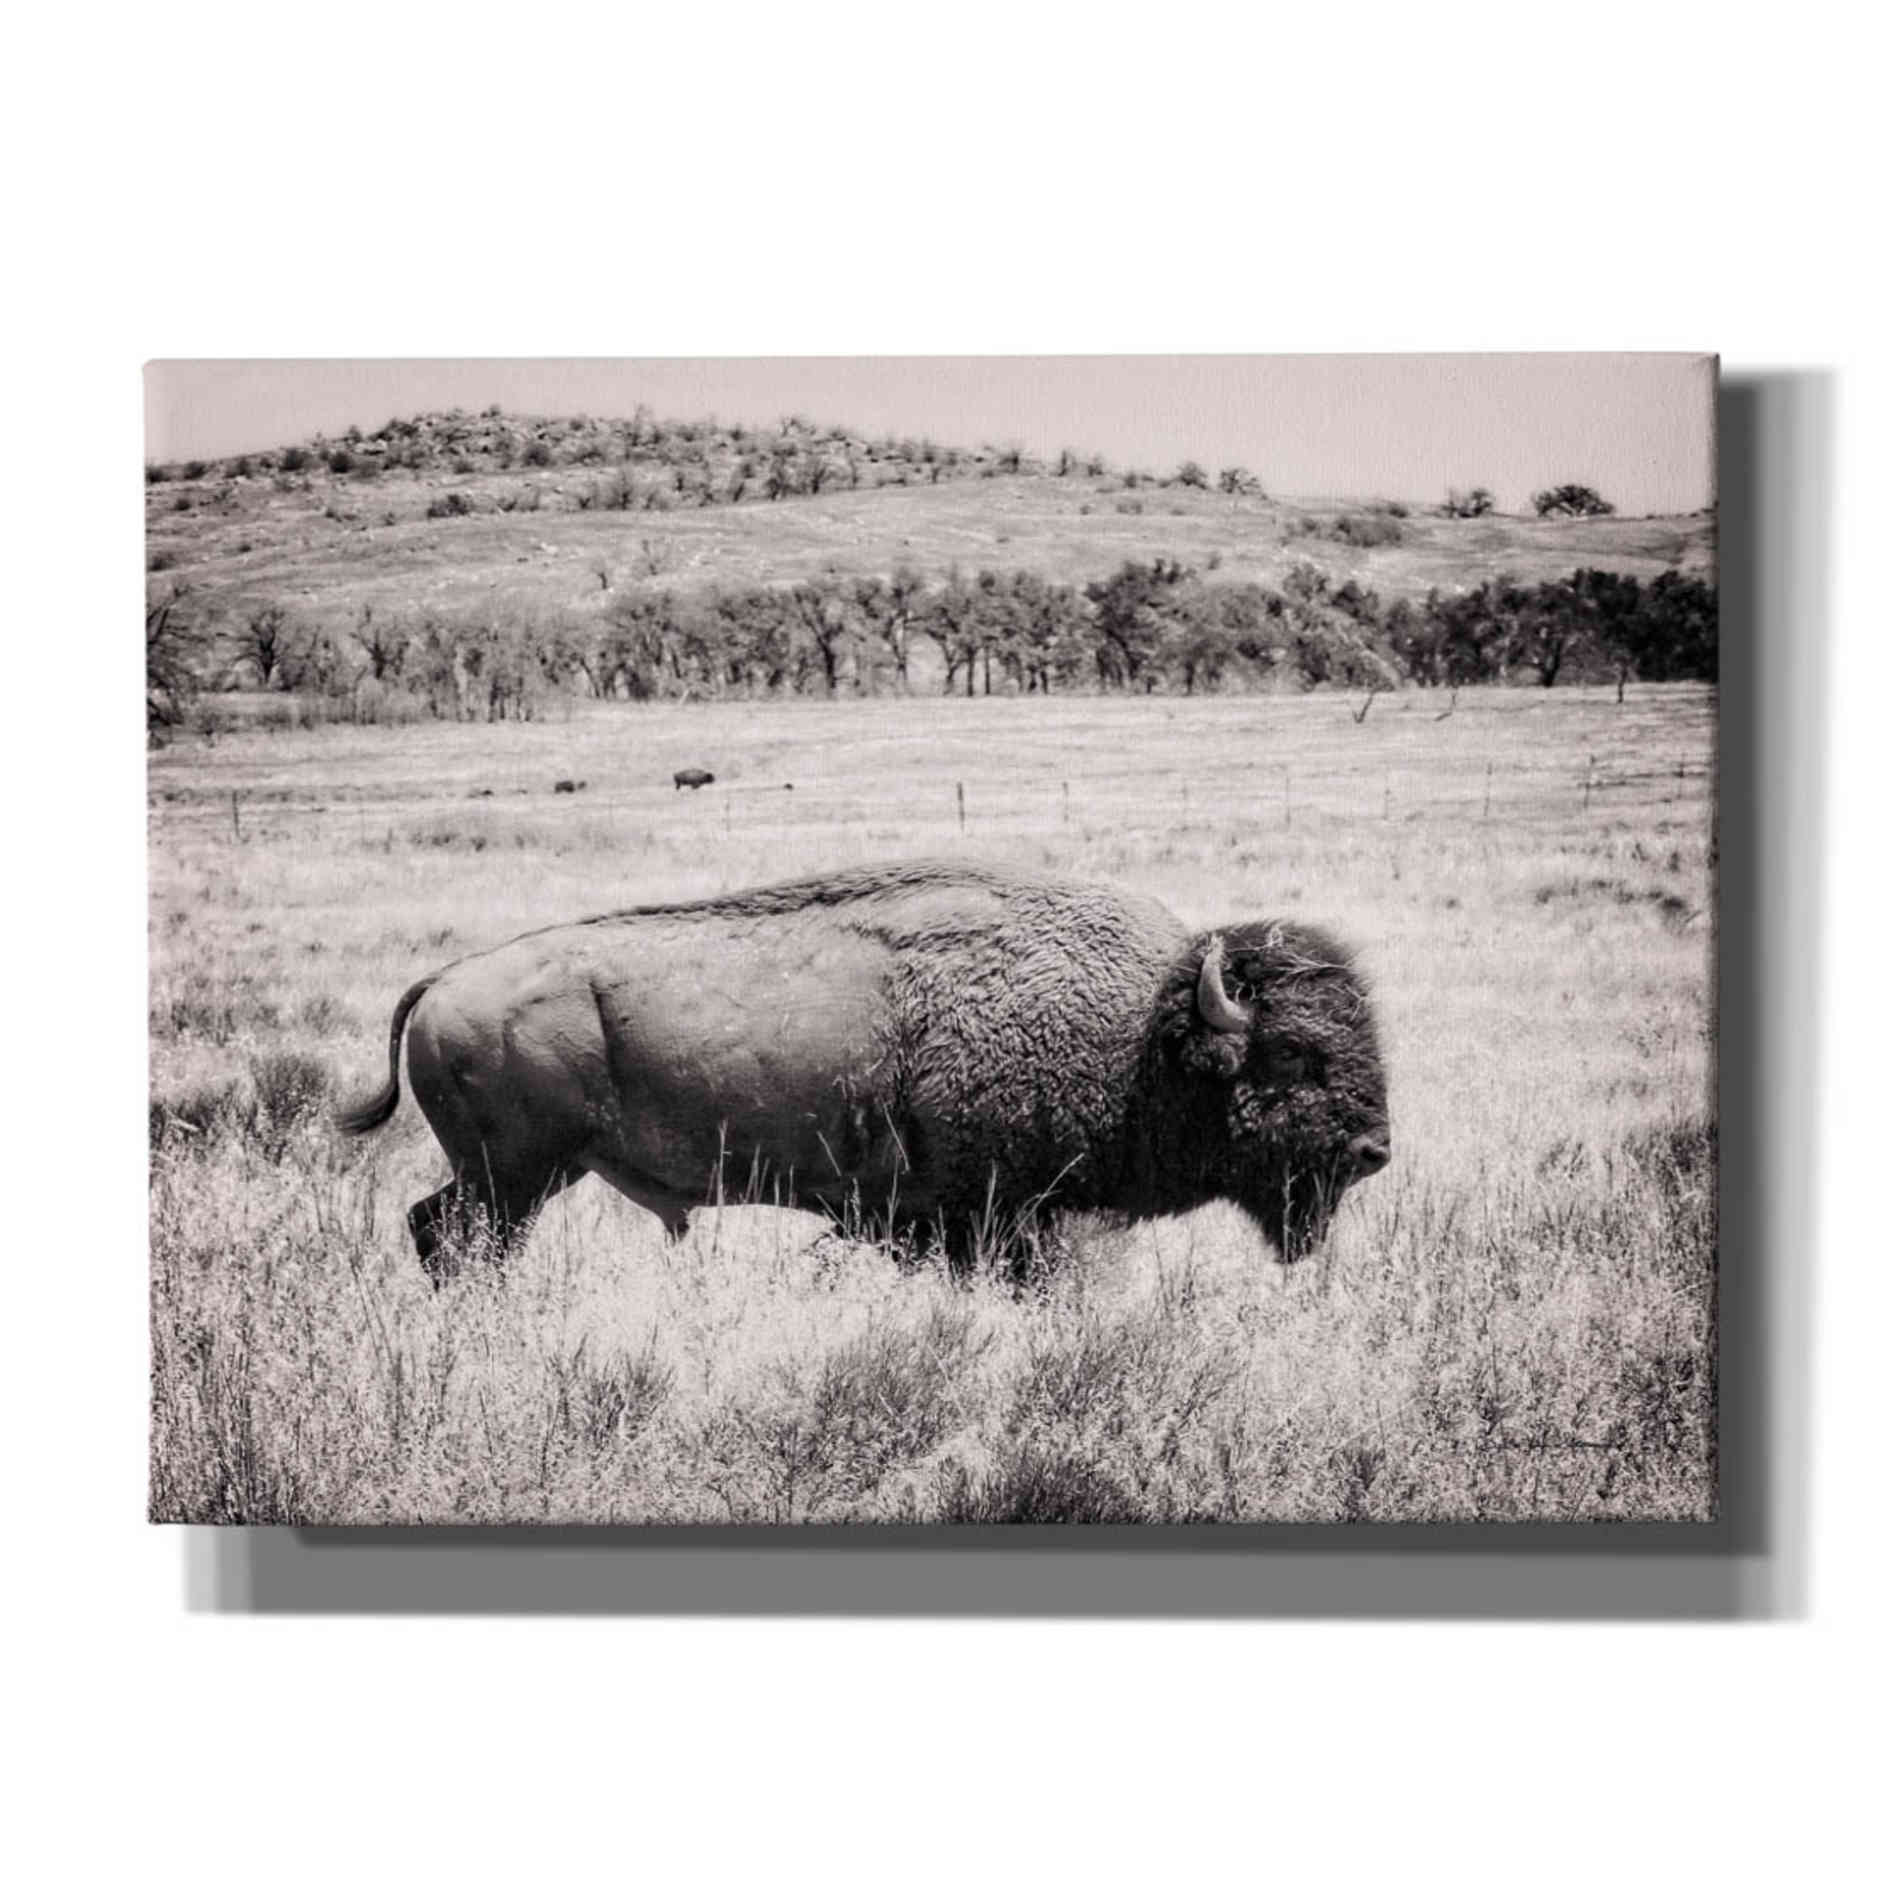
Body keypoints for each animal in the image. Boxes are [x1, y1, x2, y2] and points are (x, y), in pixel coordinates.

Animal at [338, 860, 1390, 1280]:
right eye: (1296, 1054)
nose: (1375, 1150)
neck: (1141, 1033)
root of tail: (446, 981)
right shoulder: (993, 1220)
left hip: (508, 1179)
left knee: (431, 1229)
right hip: (514, 1179)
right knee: (455, 1240)